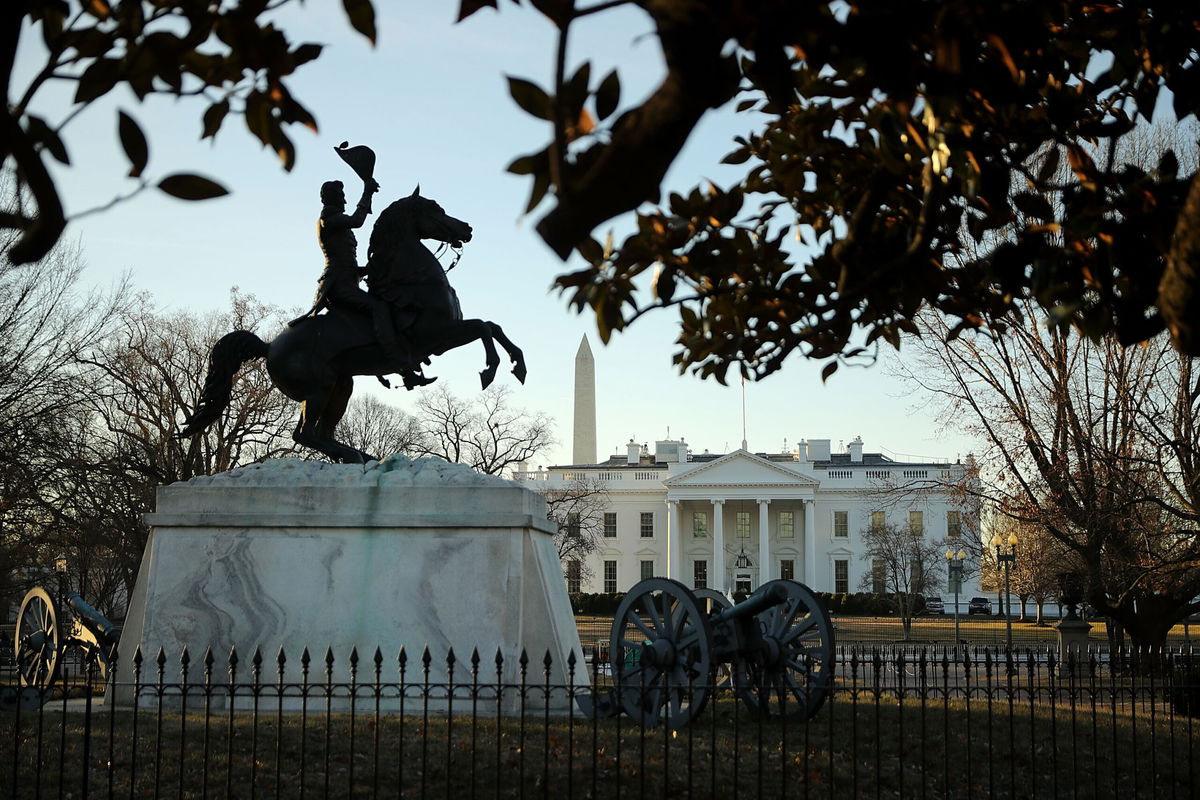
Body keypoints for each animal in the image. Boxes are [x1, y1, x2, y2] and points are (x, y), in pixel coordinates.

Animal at [180, 190, 528, 462]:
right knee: (305, 434)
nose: (467, 228)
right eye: (436, 210)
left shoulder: (442, 338)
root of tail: (268, 346)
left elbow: (493, 326)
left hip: (341, 385)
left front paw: (518, 365)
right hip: (319, 387)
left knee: (320, 432)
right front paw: (490, 369)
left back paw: (360, 455)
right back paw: (353, 455)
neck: (414, 281)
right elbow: (483, 328)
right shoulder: (436, 337)